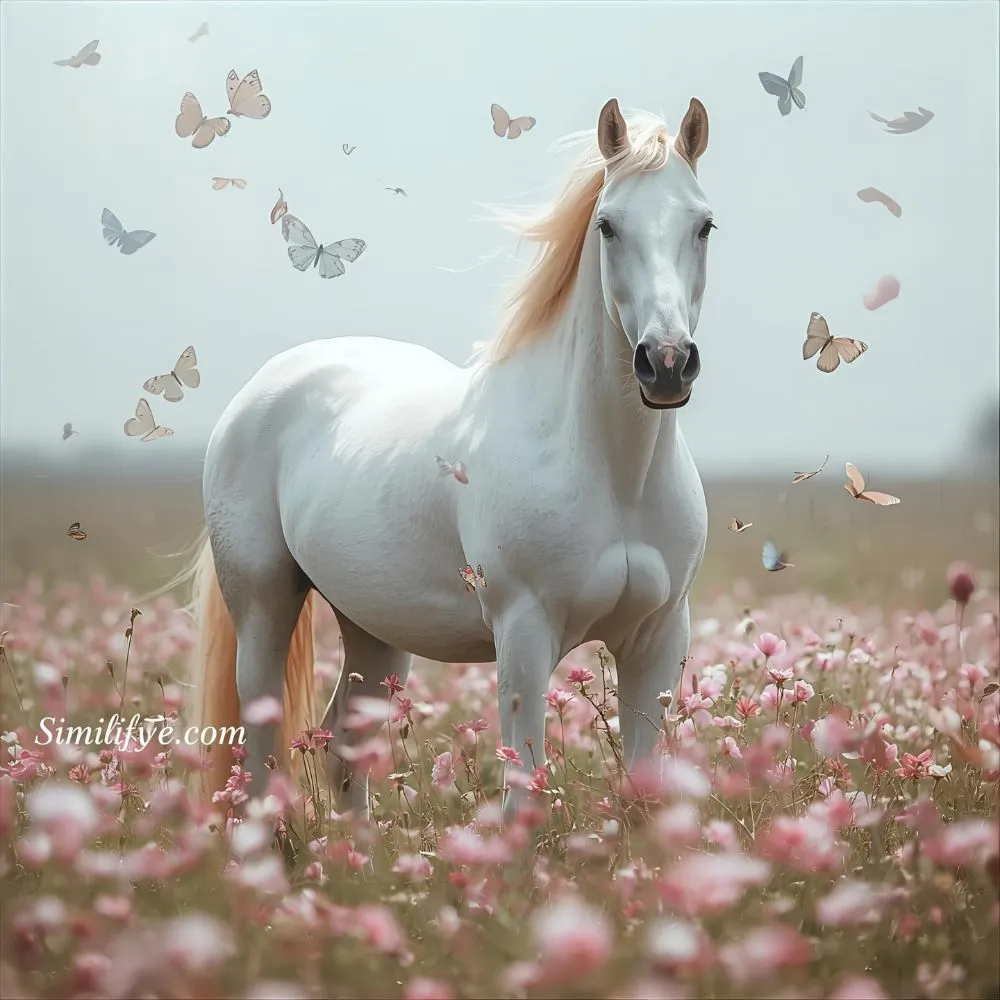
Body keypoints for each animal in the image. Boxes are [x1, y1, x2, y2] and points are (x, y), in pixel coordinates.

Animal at [187, 96, 714, 822]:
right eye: (608, 226)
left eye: (704, 225)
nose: (665, 364)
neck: (613, 470)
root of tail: (262, 389)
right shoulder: (524, 636)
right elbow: (523, 789)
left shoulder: (657, 640)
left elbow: (643, 788)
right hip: (264, 605)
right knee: (262, 746)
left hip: (374, 628)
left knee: (342, 739)